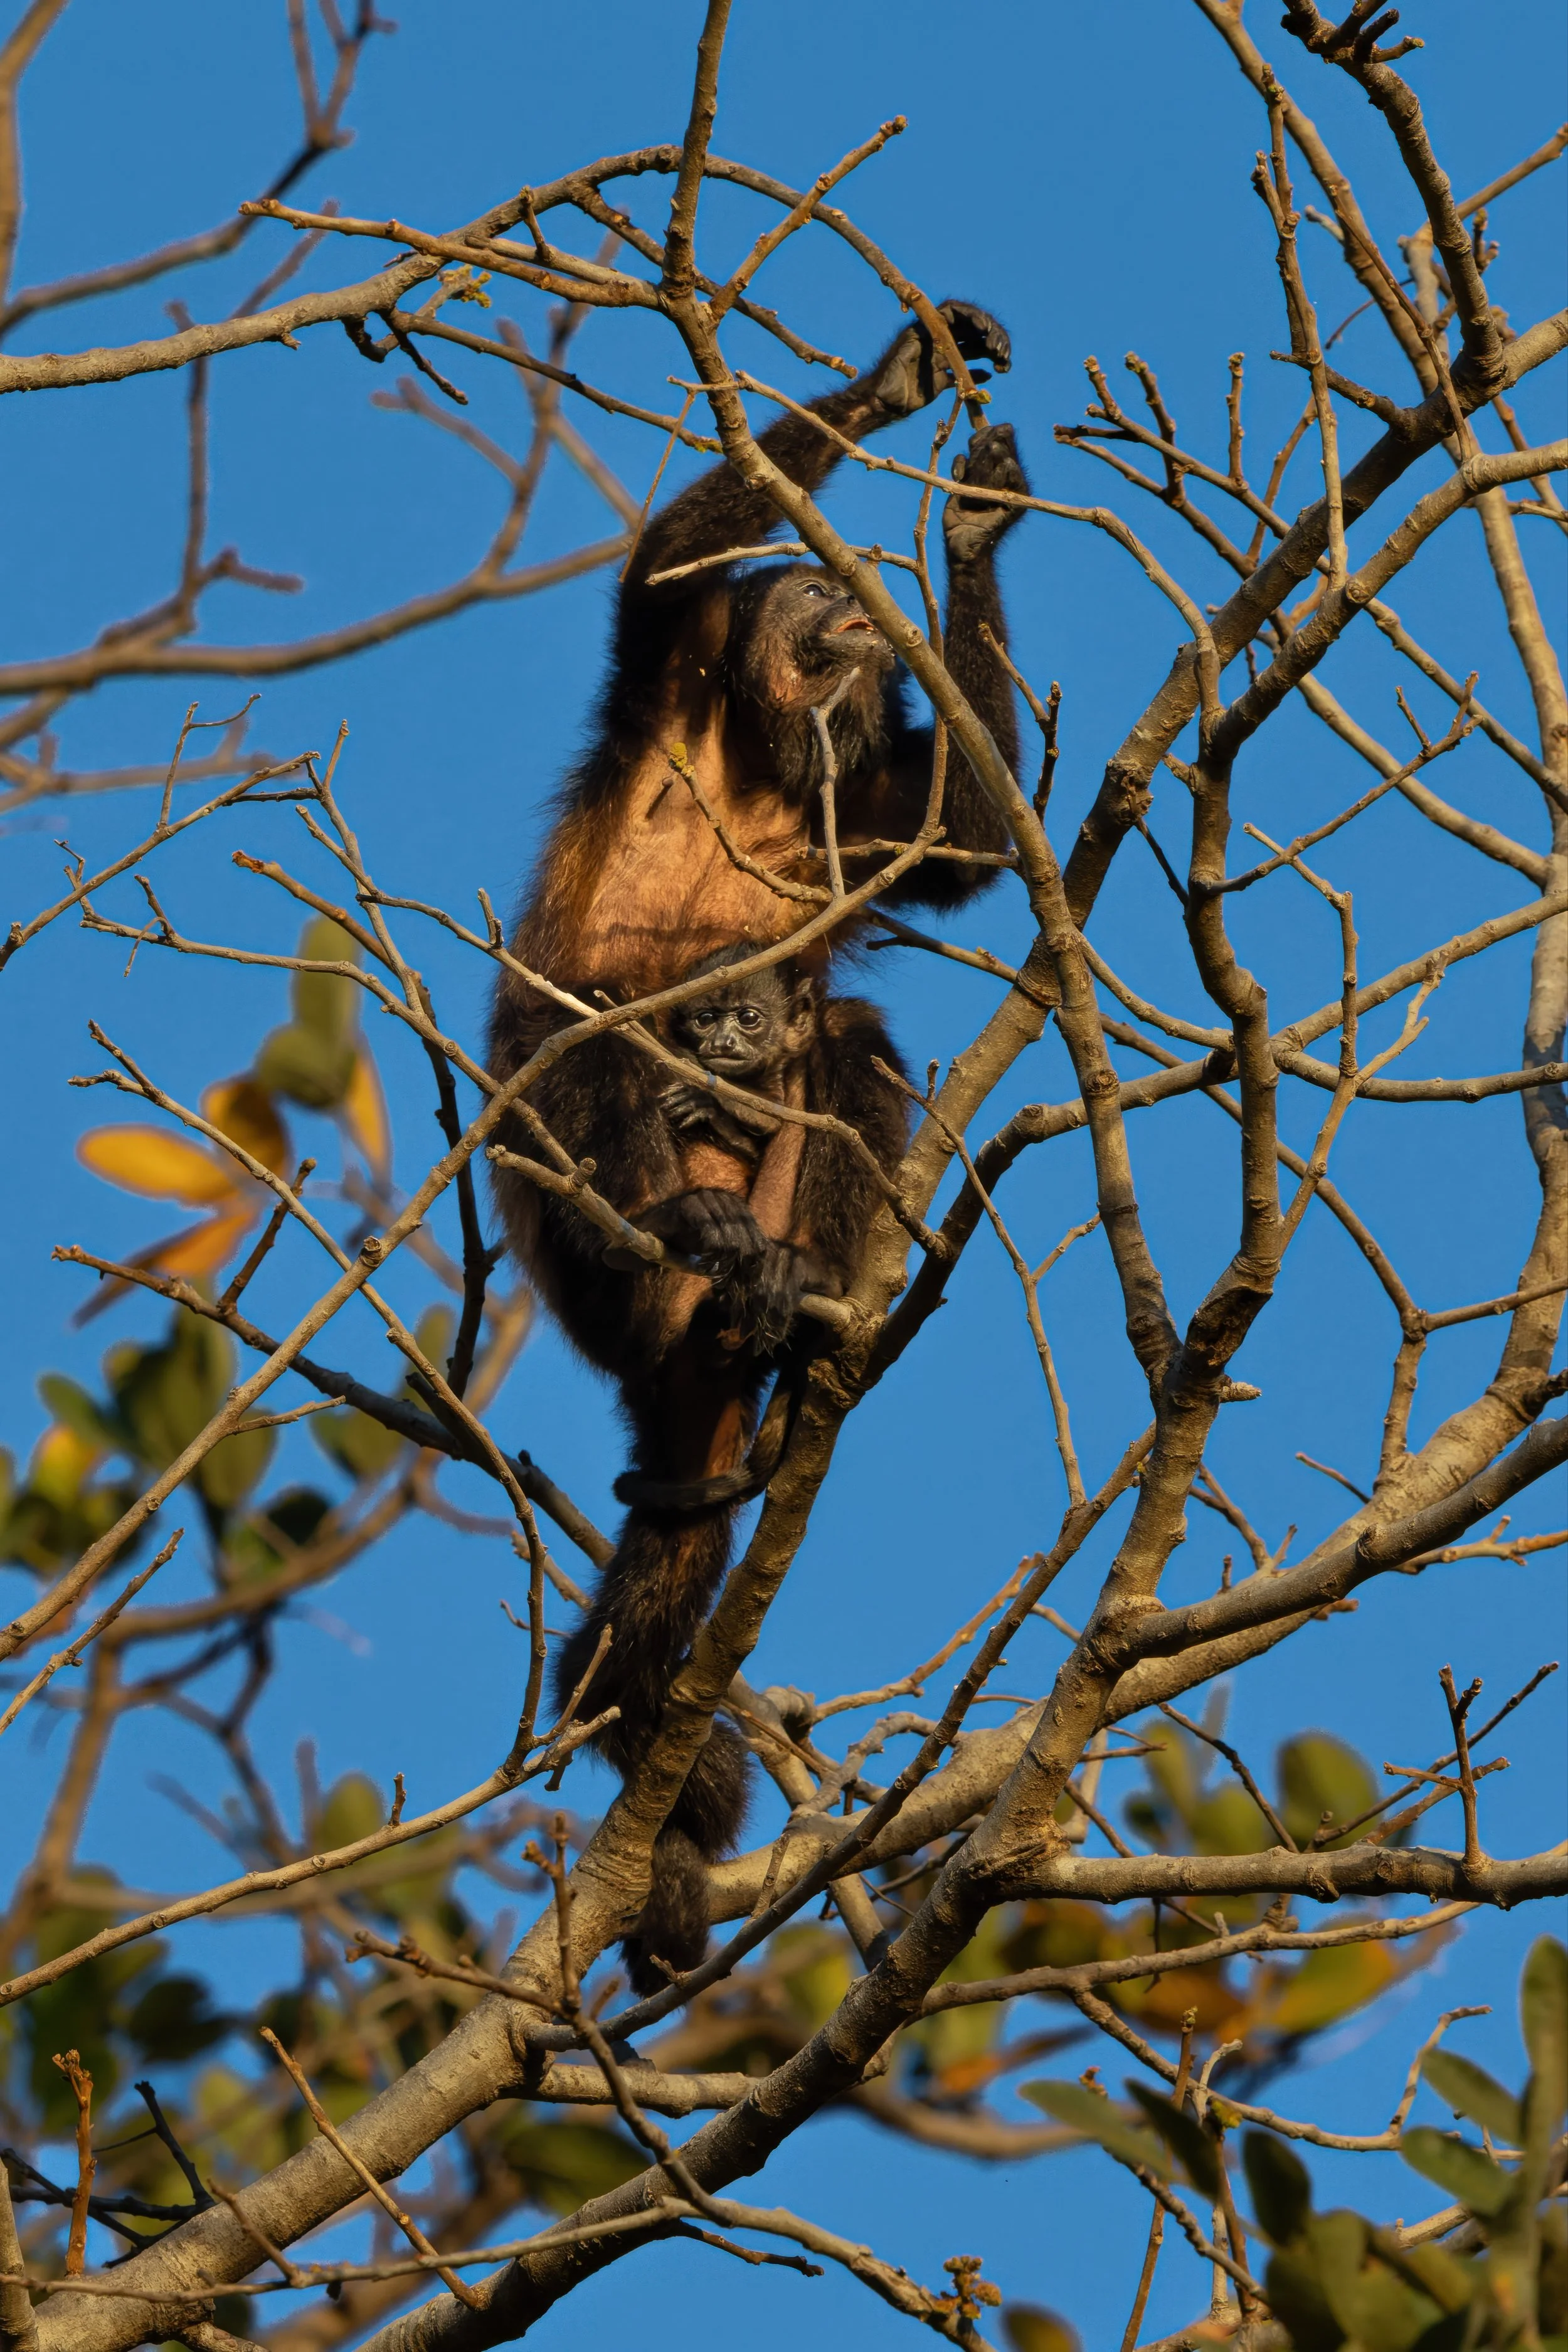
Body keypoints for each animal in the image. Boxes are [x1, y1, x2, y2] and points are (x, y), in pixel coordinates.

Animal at [487, 299, 1030, 1991]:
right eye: (797, 590)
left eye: (843, 597)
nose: (839, 603)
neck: (759, 759)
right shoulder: (668, 662)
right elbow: (673, 557)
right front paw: (896, 377)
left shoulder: (864, 805)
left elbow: (962, 837)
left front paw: (972, 517)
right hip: (579, 1259)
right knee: (587, 1034)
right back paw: (687, 1236)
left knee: (843, 1039)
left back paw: (794, 1300)